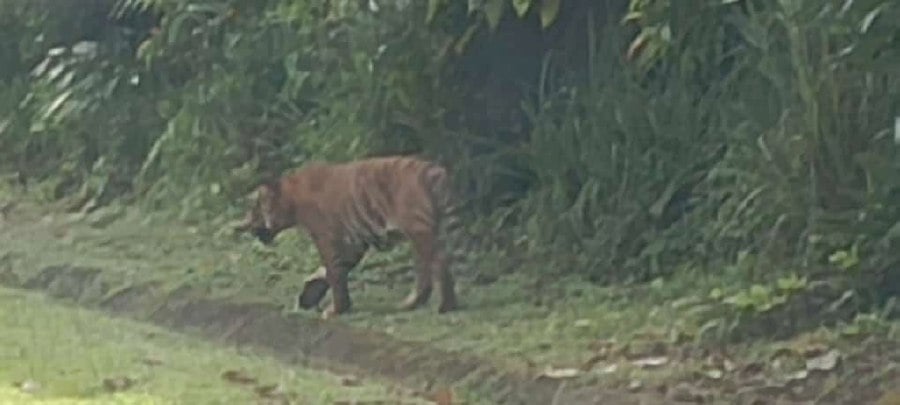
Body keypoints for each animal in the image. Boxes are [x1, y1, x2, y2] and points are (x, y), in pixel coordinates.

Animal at [232, 155, 460, 318]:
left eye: (254, 210)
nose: (245, 227)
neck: (291, 198)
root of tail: (434, 172)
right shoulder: (354, 242)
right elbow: (334, 270)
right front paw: (311, 295)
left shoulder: (326, 237)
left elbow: (334, 271)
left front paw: (336, 310)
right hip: (426, 233)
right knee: (433, 266)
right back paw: (416, 304)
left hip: (419, 231)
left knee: (437, 262)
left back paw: (444, 306)